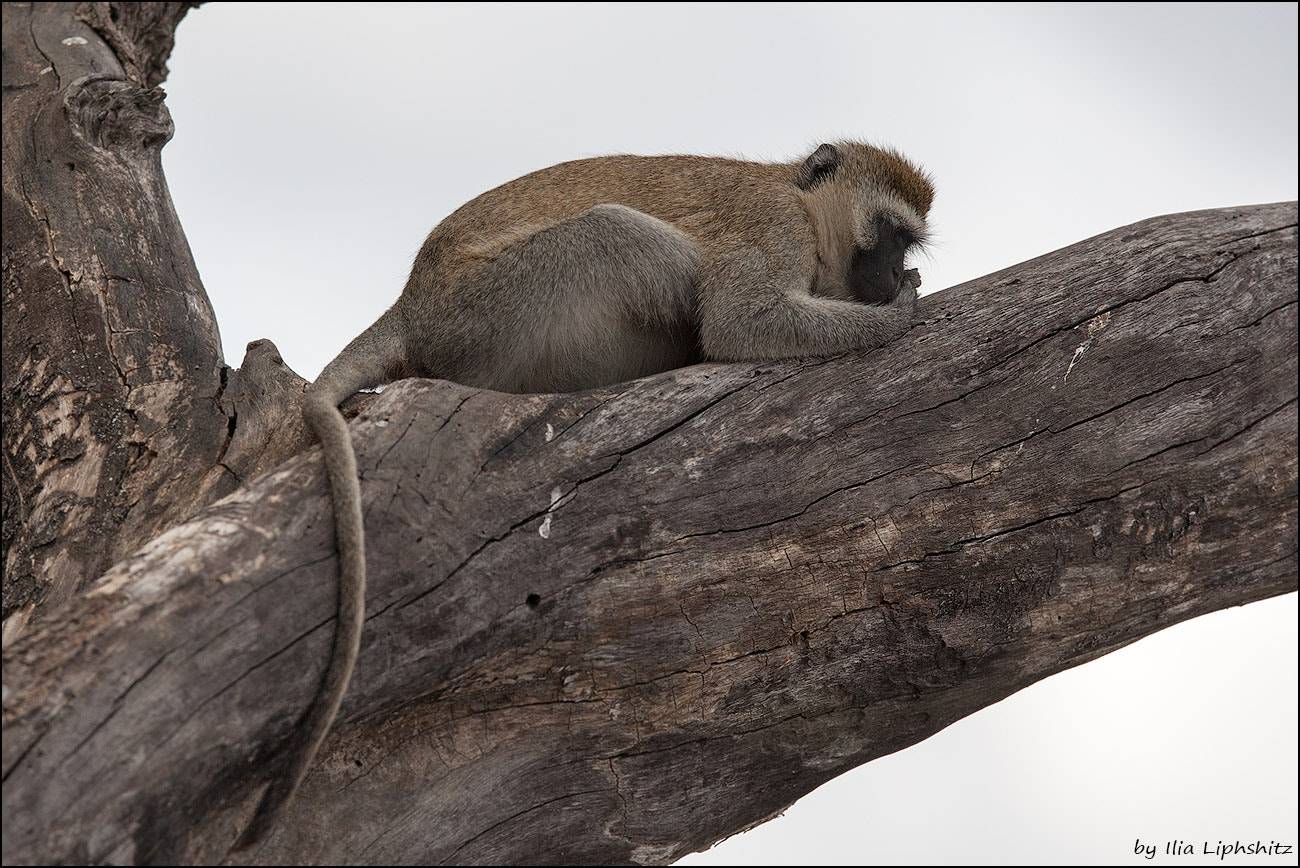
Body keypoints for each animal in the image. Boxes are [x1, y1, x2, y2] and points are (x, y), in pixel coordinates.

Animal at [231, 140, 925, 847]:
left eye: (908, 242)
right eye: (890, 235)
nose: (895, 273)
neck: (807, 209)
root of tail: (413, 306)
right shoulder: (774, 227)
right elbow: (742, 321)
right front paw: (896, 314)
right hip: (494, 313)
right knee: (622, 236)